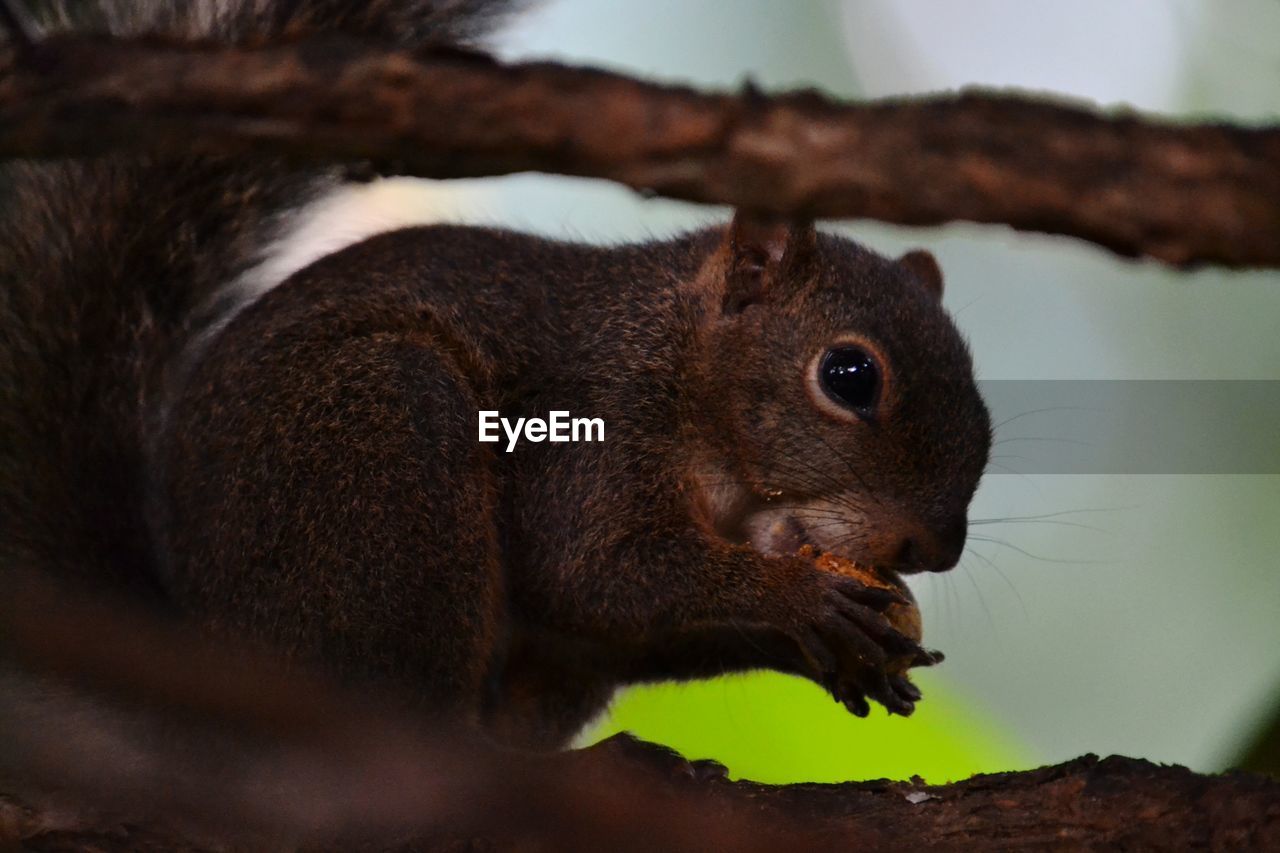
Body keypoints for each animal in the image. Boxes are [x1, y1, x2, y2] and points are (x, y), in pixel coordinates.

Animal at [0, 0, 988, 753]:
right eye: (850, 375)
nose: (933, 547)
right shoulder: (592, 427)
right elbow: (599, 570)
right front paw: (799, 597)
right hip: (385, 442)